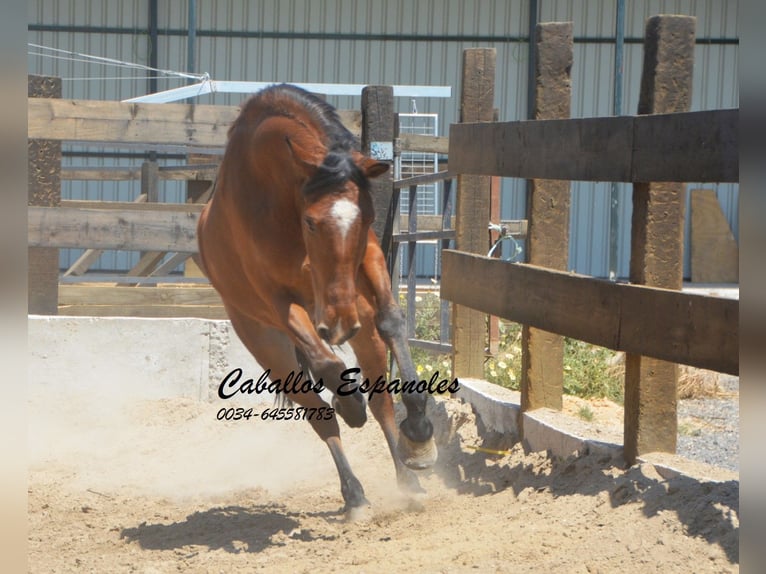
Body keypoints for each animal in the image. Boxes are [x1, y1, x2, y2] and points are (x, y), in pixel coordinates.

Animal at [198, 82, 438, 516]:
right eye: (311, 222)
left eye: (365, 217)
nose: (341, 322)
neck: (275, 197)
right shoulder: (277, 301)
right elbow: (327, 365)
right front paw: (348, 403)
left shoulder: (370, 258)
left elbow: (393, 321)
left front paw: (419, 432)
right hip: (268, 344)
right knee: (320, 413)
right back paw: (354, 493)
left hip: (360, 327)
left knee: (381, 402)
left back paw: (408, 479)